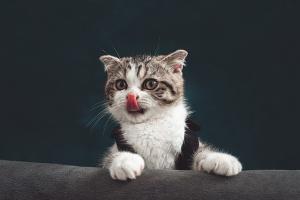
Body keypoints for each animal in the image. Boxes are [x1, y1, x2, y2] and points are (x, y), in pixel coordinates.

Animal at [98, 49, 241, 180]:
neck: (150, 124)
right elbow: (110, 158)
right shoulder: (117, 146)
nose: (131, 96)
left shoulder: (188, 149)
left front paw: (221, 159)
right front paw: (125, 161)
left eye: (151, 83)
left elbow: (200, 152)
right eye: (120, 84)